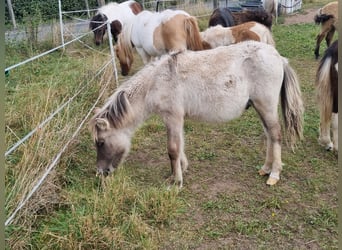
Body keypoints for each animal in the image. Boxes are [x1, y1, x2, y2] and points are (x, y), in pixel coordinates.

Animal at [89, 41, 304, 187]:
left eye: (101, 143)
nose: (101, 172)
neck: (157, 80)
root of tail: (279, 57)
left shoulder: (173, 117)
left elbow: (173, 149)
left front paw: (176, 181)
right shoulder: (176, 119)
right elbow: (180, 145)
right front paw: (181, 169)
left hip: (266, 106)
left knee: (275, 135)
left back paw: (274, 174)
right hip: (261, 108)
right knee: (269, 136)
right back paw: (265, 168)